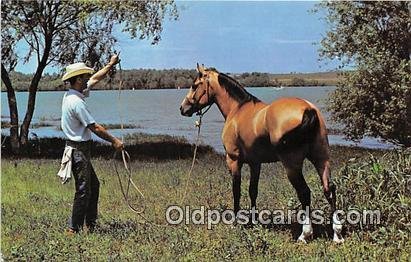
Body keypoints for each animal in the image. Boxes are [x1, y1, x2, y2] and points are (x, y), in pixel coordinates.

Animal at [180, 64, 344, 244]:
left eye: (194, 85)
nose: (183, 108)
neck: (237, 109)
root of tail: (309, 110)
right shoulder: (255, 163)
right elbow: (253, 191)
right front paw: (254, 221)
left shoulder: (233, 161)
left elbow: (236, 190)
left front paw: (236, 222)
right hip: (321, 159)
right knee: (329, 188)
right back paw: (337, 234)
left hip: (292, 166)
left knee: (304, 193)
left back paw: (304, 234)